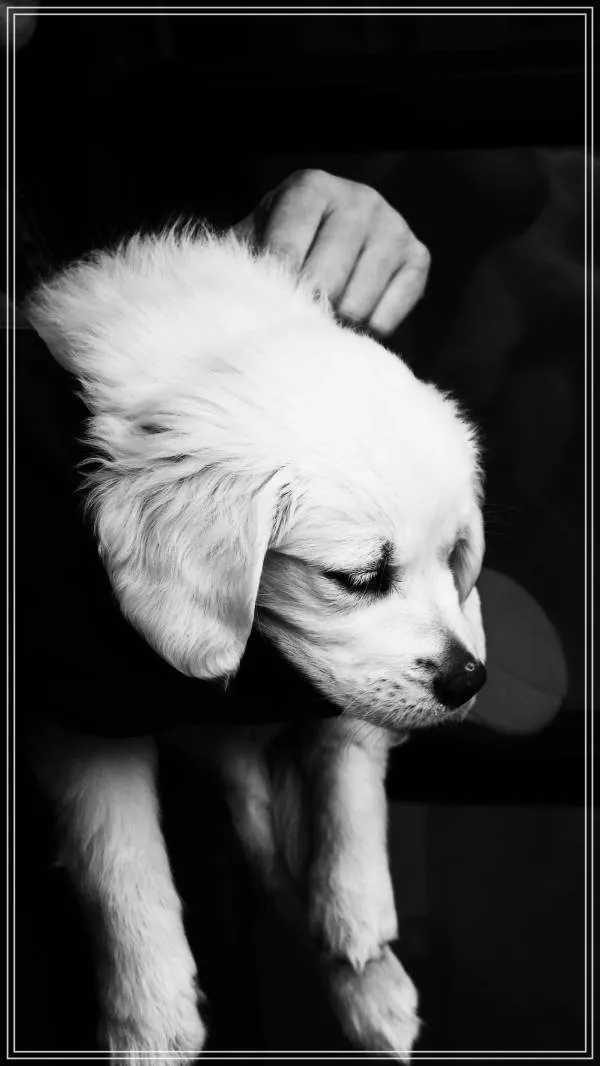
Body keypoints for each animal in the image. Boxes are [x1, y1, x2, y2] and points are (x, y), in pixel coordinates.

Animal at [23, 224, 487, 1063]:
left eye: (454, 557)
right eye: (360, 576)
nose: (470, 682)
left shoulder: (350, 685)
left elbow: (346, 754)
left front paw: (357, 907)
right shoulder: (80, 715)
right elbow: (118, 856)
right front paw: (151, 1020)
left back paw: (370, 983)